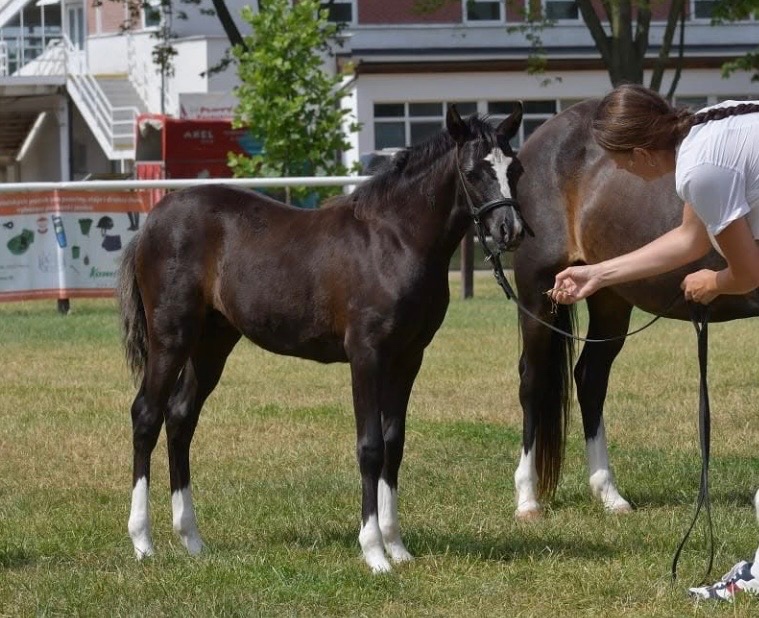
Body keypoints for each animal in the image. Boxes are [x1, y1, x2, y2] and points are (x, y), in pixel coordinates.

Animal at [116, 104, 526, 573]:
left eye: (514, 167)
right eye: (473, 171)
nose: (510, 229)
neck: (396, 239)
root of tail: (151, 223)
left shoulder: (408, 358)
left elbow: (394, 443)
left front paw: (397, 546)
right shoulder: (367, 354)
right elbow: (370, 447)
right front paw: (373, 552)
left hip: (212, 342)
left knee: (181, 417)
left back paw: (192, 539)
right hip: (172, 336)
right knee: (147, 415)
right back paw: (143, 541)